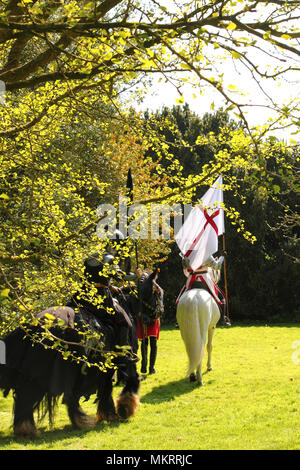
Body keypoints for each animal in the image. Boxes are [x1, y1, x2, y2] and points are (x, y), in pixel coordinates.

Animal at [0, 270, 162, 438]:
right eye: (157, 292)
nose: (157, 314)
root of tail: (37, 324)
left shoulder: (106, 368)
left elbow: (106, 388)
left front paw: (109, 413)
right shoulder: (126, 358)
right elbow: (131, 379)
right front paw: (125, 408)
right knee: (49, 396)